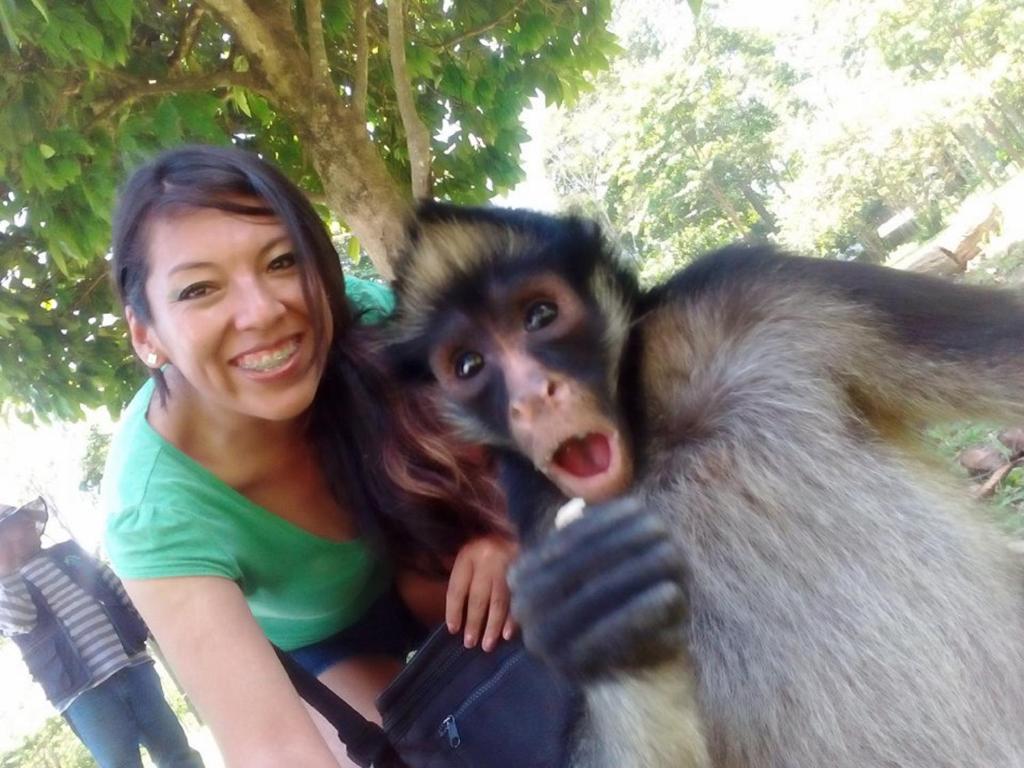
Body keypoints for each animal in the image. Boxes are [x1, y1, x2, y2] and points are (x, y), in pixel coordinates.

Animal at [387, 204, 1024, 768]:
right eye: (469, 365)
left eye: (539, 316)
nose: (531, 396)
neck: (650, 439)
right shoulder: (535, 505)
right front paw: (591, 624)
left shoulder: (749, 290)